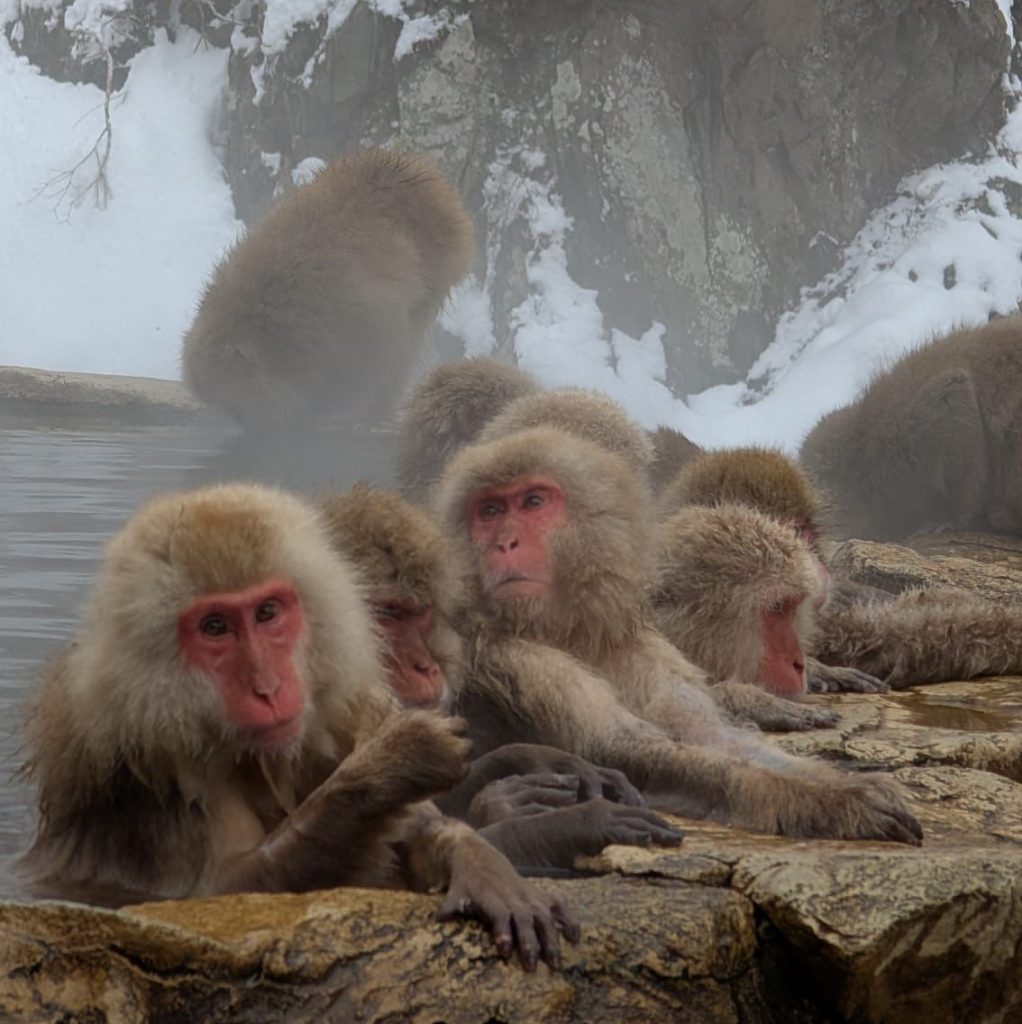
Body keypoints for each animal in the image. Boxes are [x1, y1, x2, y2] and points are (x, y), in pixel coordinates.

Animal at [19, 483, 578, 970]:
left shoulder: (350, 703)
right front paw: (389, 768)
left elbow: (418, 835)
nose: (268, 687)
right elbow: (212, 893)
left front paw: (482, 865)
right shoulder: (152, 767)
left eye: (268, 613)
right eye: (215, 627)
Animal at [182, 148, 474, 432]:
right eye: (231, 406)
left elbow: (385, 357)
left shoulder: (358, 321)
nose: (249, 425)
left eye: (238, 403)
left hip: (439, 262)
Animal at [431, 426, 923, 844]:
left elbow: (709, 735)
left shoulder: (639, 647)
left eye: (533, 502)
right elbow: (624, 752)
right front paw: (836, 802)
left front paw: (840, 781)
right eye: (490, 512)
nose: (505, 542)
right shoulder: (516, 659)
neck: (569, 631)